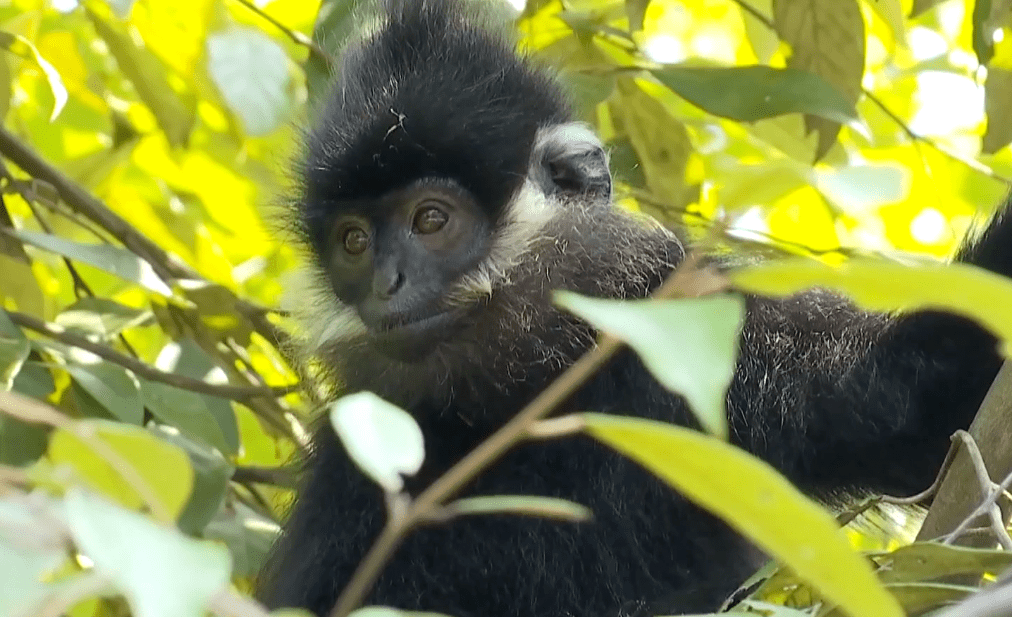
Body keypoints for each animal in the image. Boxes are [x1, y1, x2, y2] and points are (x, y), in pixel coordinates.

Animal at [259, 1, 1011, 614]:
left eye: (431, 220)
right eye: (354, 241)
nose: (386, 281)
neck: (532, 384)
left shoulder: (724, 328)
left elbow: (921, 405)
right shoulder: (352, 464)